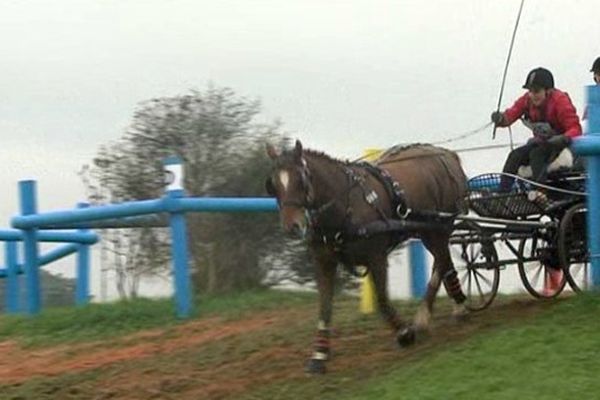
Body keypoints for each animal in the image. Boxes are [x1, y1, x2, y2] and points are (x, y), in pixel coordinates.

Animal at [268, 139, 468, 374]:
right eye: (273, 184)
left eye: (301, 180)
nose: (292, 226)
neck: (345, 205)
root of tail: (446, 154)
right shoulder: (324, 262)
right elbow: (324, 307)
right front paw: (319, 355)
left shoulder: (376, 257)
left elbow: (382, 299)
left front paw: (405, 333)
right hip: (428, 229)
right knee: (443, 261)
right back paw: (441, 310)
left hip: (439, 227)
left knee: (442, 261)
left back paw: (441, 311)